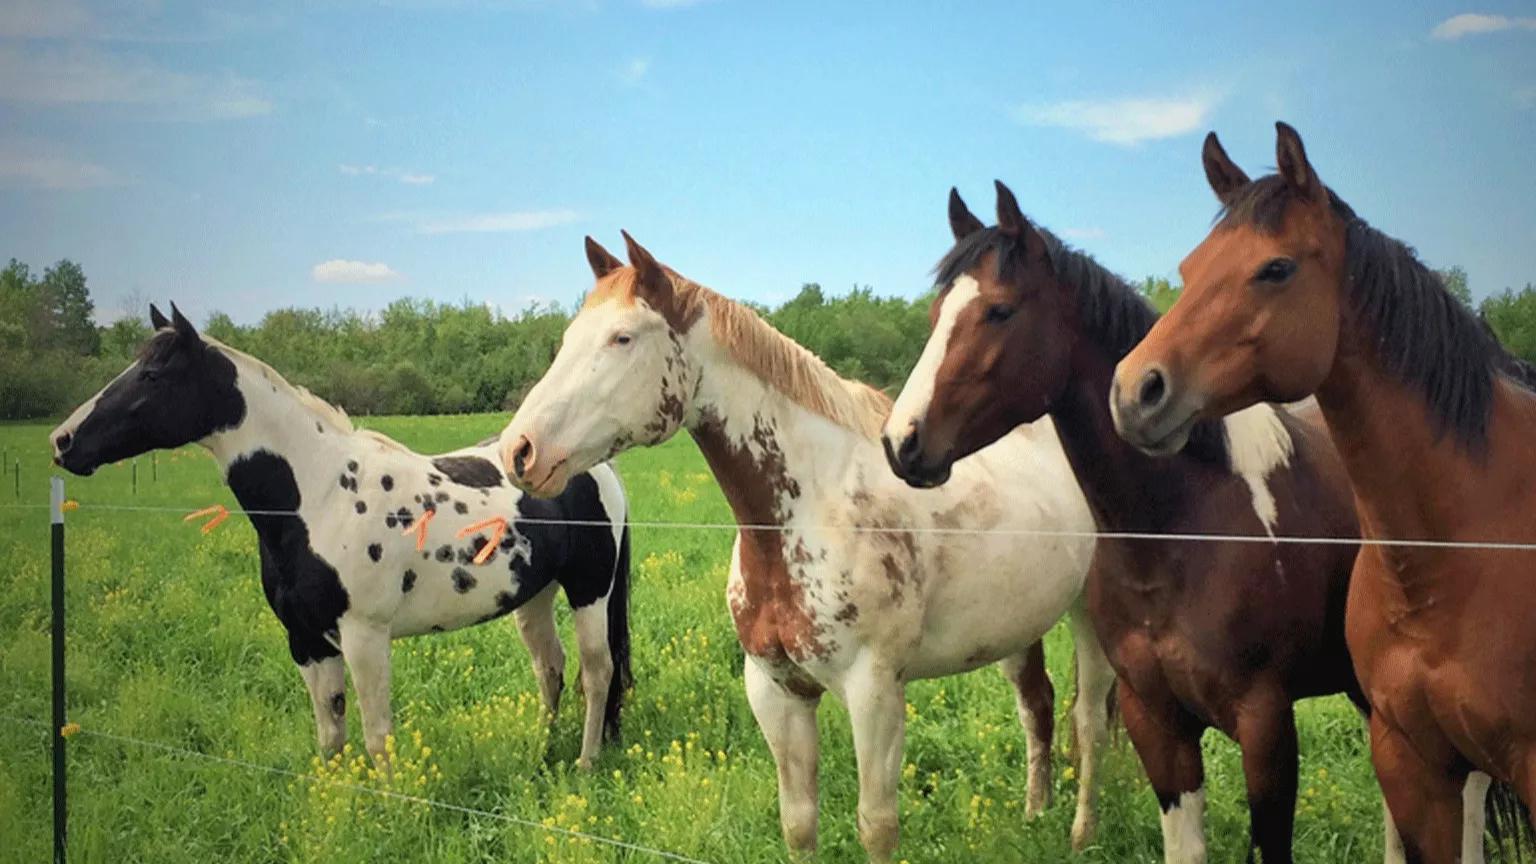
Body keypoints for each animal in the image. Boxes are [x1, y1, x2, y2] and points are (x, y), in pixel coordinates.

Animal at [51, 304, 633, 768]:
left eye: (152, 375)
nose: (63, 440)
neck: (320, 497)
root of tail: (594, 467)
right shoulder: (306, 642)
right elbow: (330, 737)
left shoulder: (364, 637)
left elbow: (378, 739)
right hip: (533, 597)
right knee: (550, 671)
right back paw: (539, 754)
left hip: (590, 591)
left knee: (597, 673)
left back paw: (585, 763)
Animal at [495, 232, 1116, 862]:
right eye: (569, 337)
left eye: (622, 338)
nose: (519, 450)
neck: (808, 515)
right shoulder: (778, 692)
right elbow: (798, 822)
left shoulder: (875, 695)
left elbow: (877, 826)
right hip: (1019, 627)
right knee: (1037, 705)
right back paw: (1035, 813)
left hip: (1090, 623)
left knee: (1089, 721)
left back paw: (1082, 835)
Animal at [879, 180, 1409, 863]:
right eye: (935, 315)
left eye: (999, 311)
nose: (901, 442)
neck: (1183, 527)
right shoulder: (1155, 718)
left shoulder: (1267, 724)